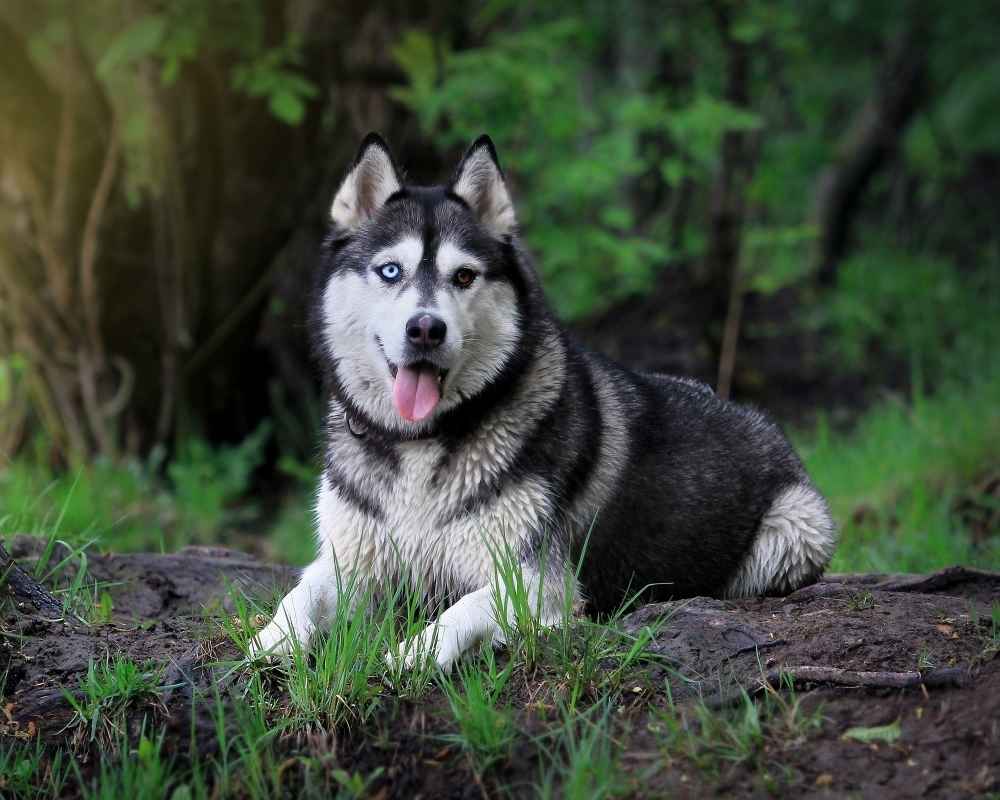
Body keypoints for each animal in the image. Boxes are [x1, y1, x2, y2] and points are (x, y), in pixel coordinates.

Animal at [250, 133, 836, 668]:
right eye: (390, 270)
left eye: (464, 275)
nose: (426, 329)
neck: (421, 442)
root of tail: (758, 418)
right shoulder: (349, 562)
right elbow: (300, 594)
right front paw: (268, 642)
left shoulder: (537, 581)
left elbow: (461, 610)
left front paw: (413, 654)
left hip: (796, 531)